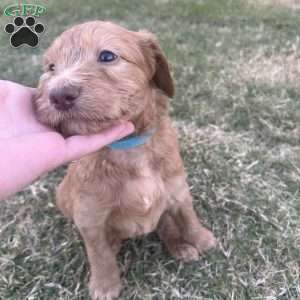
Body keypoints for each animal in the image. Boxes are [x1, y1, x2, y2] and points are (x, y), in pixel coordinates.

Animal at [34, 21, 217, 300]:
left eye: (107, 56)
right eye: (51, 68)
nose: (59, 95)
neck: (128, 147)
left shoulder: (177, 188)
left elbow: (187, 216)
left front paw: (202, 239)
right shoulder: (90, 216)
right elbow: (99, 254)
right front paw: (105, 286)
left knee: (165, 222)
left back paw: (180, 245)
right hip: (63, 195)